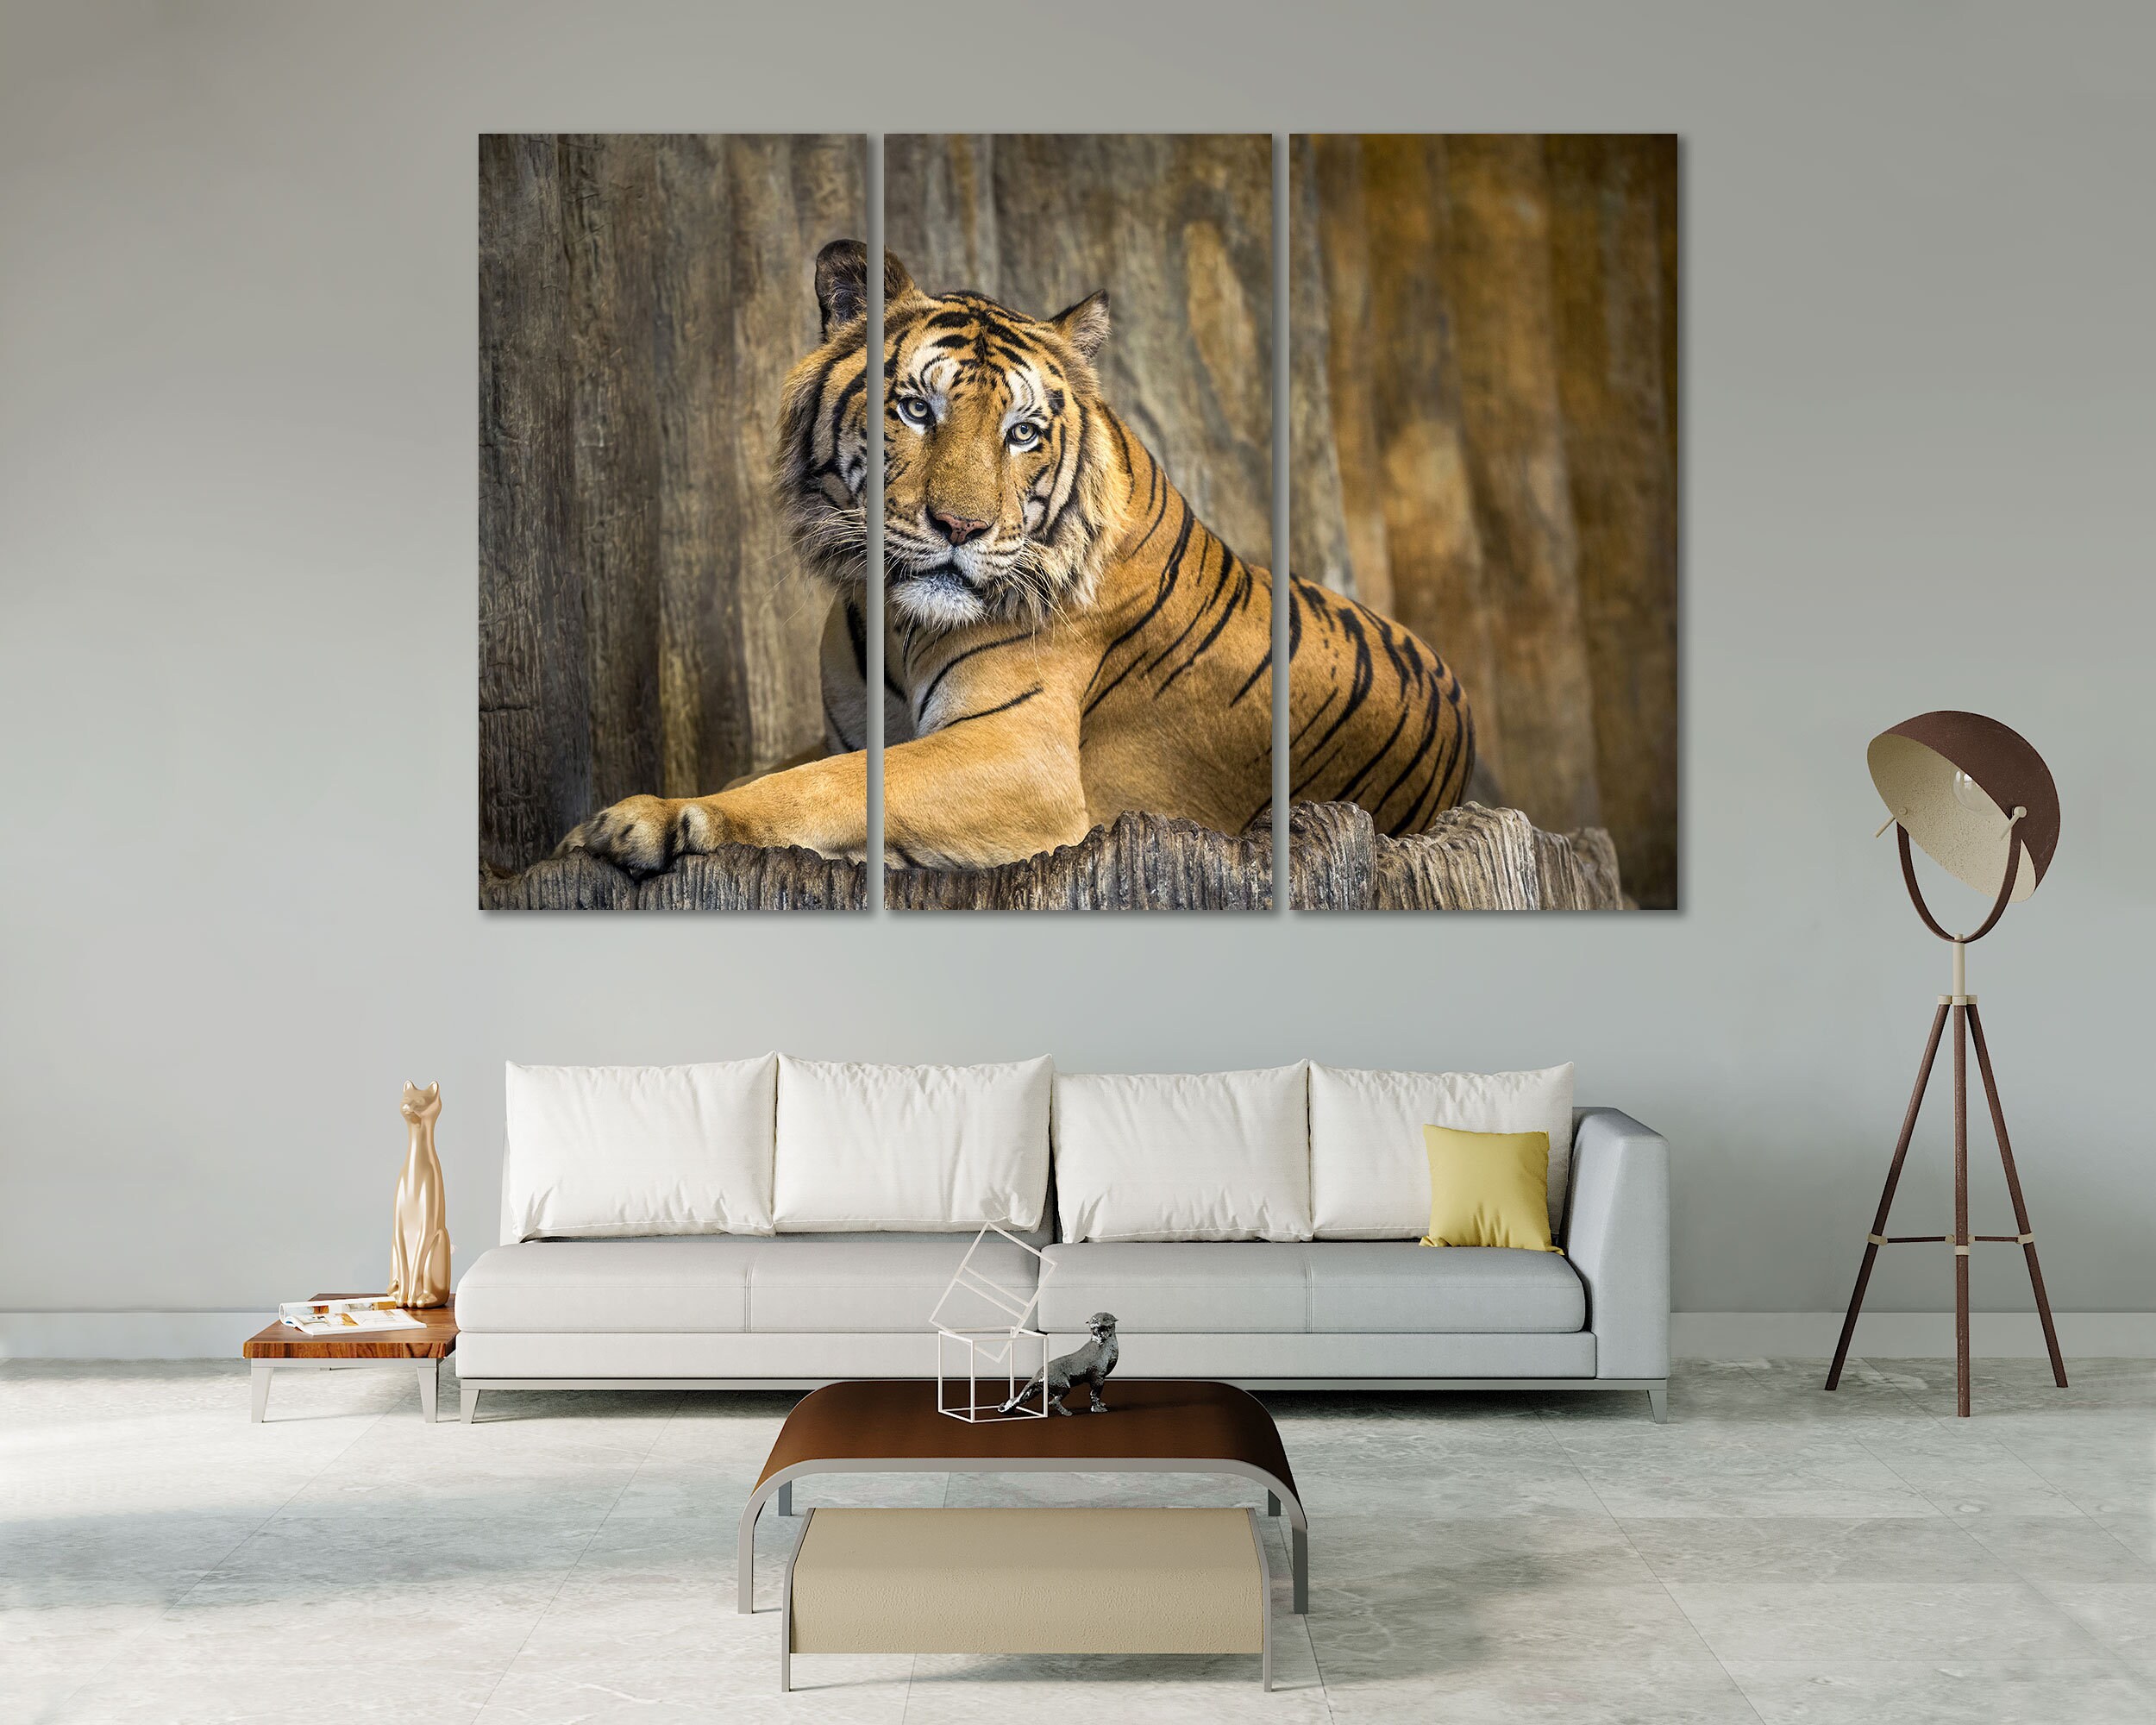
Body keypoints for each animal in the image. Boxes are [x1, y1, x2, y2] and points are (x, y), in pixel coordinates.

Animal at [555, 240, 1474, 874]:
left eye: (1023, 432)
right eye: (914, 410)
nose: (959, 527)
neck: (893, 623)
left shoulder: (1018, 754)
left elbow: (829, 783)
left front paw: (654, 818)